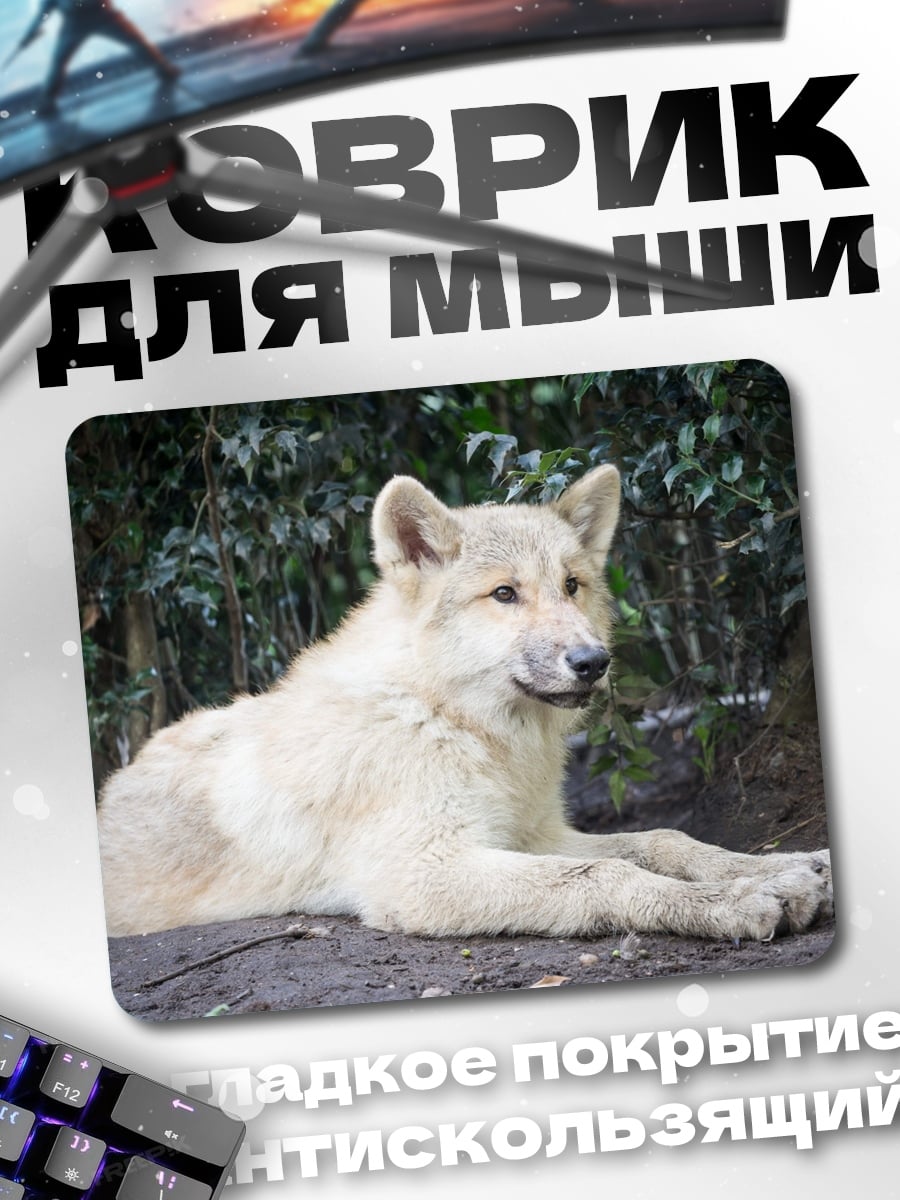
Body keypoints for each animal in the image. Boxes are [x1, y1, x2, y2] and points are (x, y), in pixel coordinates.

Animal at [97, 465, 831, 941]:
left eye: (572, 585)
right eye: (505, 594)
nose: (593, 662)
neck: (451, 722)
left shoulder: (533, 836)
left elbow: (664, 841)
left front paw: (787, 869)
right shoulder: (426, 875)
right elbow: (607, 875)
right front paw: (737, 903)